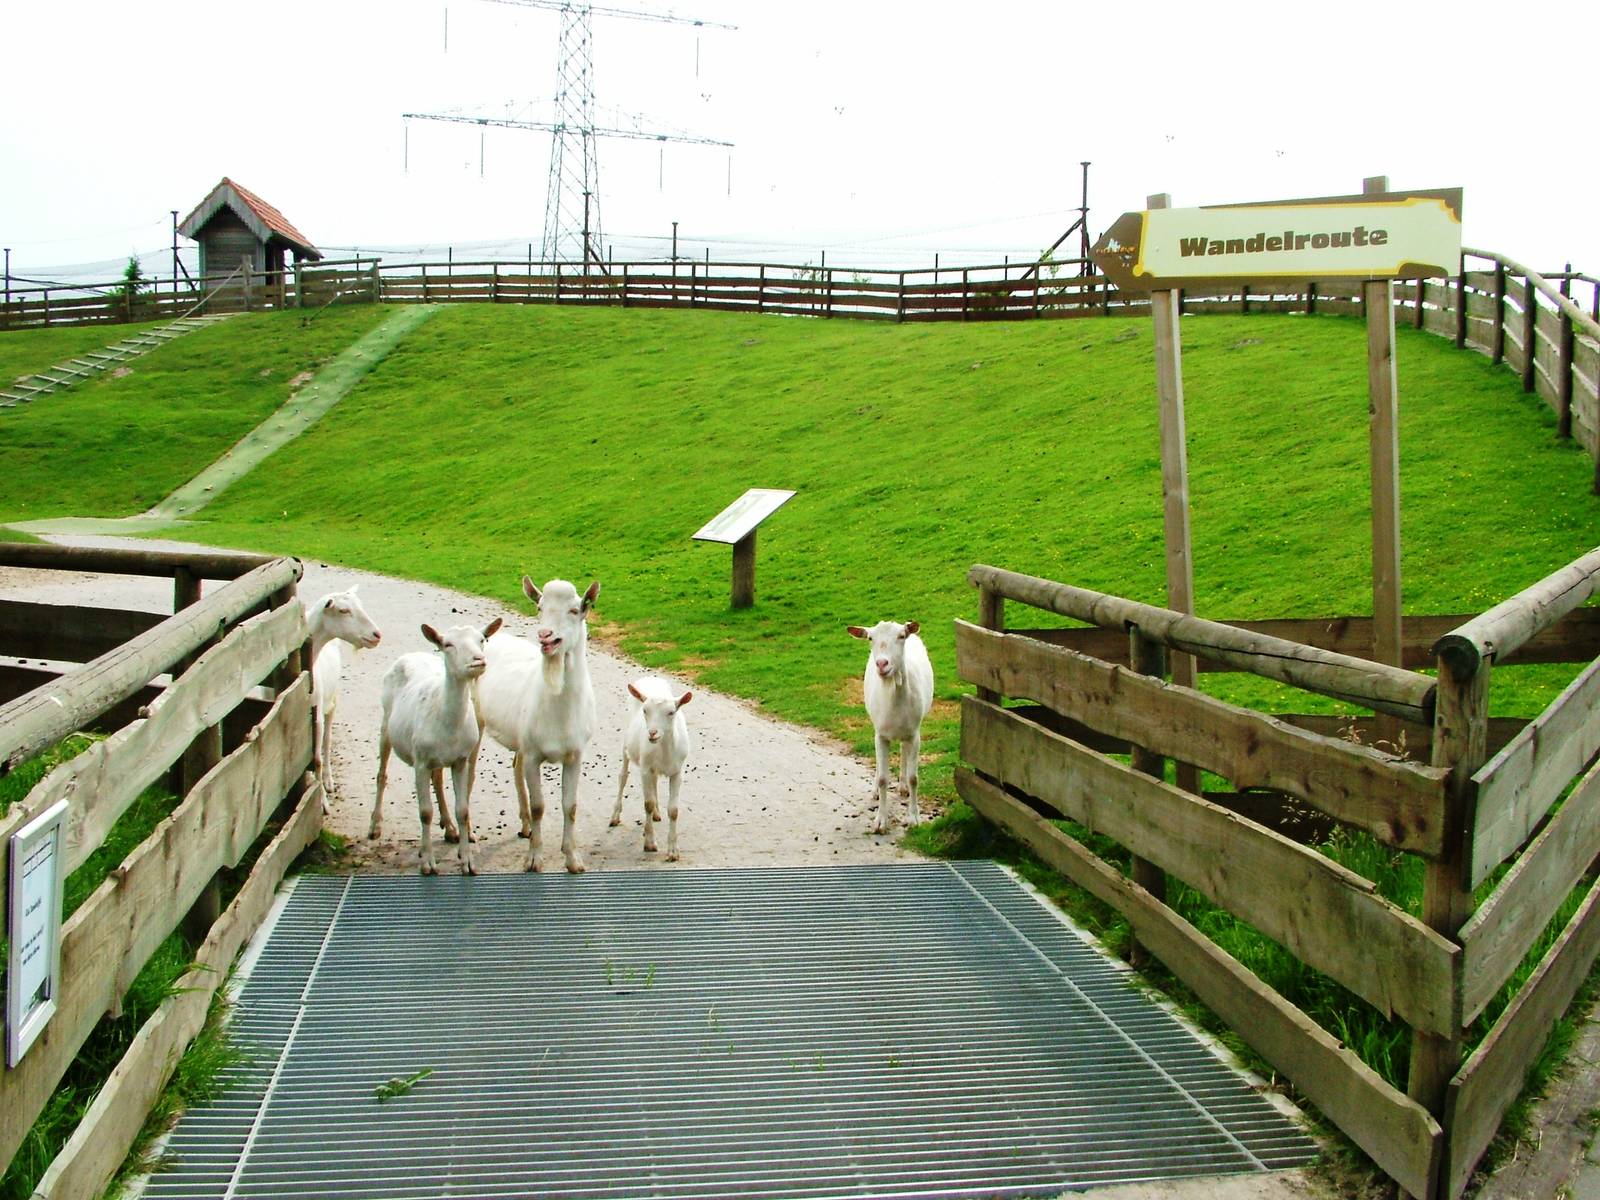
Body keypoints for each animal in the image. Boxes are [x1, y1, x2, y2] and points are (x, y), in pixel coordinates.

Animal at [306, 587, 381, 800]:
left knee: (327, 742)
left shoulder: (316, 715)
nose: (376, 634)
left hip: (333, 702)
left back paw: (329, 782)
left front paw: (322, 801)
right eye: (343, 610)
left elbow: (317, 760)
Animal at [371, 618, 501, 874]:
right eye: (448, 644)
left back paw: (449, 828)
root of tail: (411, 655)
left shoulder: (460, 759)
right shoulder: (420, 761)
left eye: (482, 639)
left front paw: (467, 862)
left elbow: (463, 809)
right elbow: (424, 812)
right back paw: (375, 827)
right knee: (382, 773)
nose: (478, 661)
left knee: (438, 778)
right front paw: (428, 863)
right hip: (386, 724)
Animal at [476, 576, 600, 873]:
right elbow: (540, 806)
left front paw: (573, 859)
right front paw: (534, 859)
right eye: (539, 607)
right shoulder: (534, 754)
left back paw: (525, 827)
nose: (545, 635)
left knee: (515, 766)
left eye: (575, 609)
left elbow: (570, 805)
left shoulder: (575, 754)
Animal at [611, 677, 693, 860]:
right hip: (627, 745)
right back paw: (615, 816)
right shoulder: (645, 769)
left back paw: (656, 813)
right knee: (623, 777)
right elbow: (647, 803)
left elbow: (674, 810)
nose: (652, 733)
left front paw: (673, 851)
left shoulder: (677, 772)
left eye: (671, 712)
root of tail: (651, 678)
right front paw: (649, 843)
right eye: (645, 710)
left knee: (654, 782)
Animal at [847, 620, 934, 833]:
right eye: (870, 638)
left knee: (903, 749)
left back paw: (902, 787)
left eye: (901, 636)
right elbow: (883, 778)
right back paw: (876, 791)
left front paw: (914, 818)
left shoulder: (915, 734)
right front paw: (880, 822)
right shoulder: (880, 735)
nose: (881, 664)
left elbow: (914, 778)